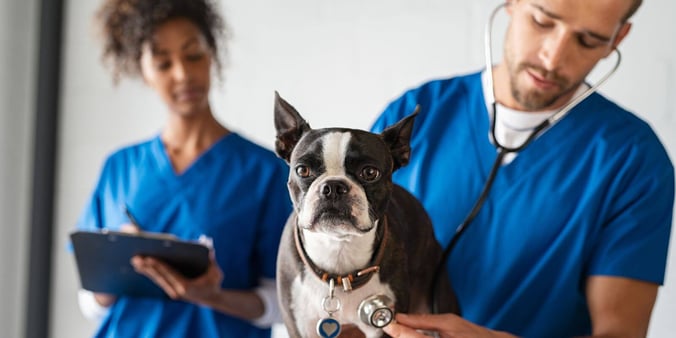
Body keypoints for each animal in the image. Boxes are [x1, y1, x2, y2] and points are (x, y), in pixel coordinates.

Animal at [274, 92, 460, 338]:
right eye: (302, 170)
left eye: (370, 173)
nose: (333, 187)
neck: (338, 251)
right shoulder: (299, 326)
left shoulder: (383, 323)